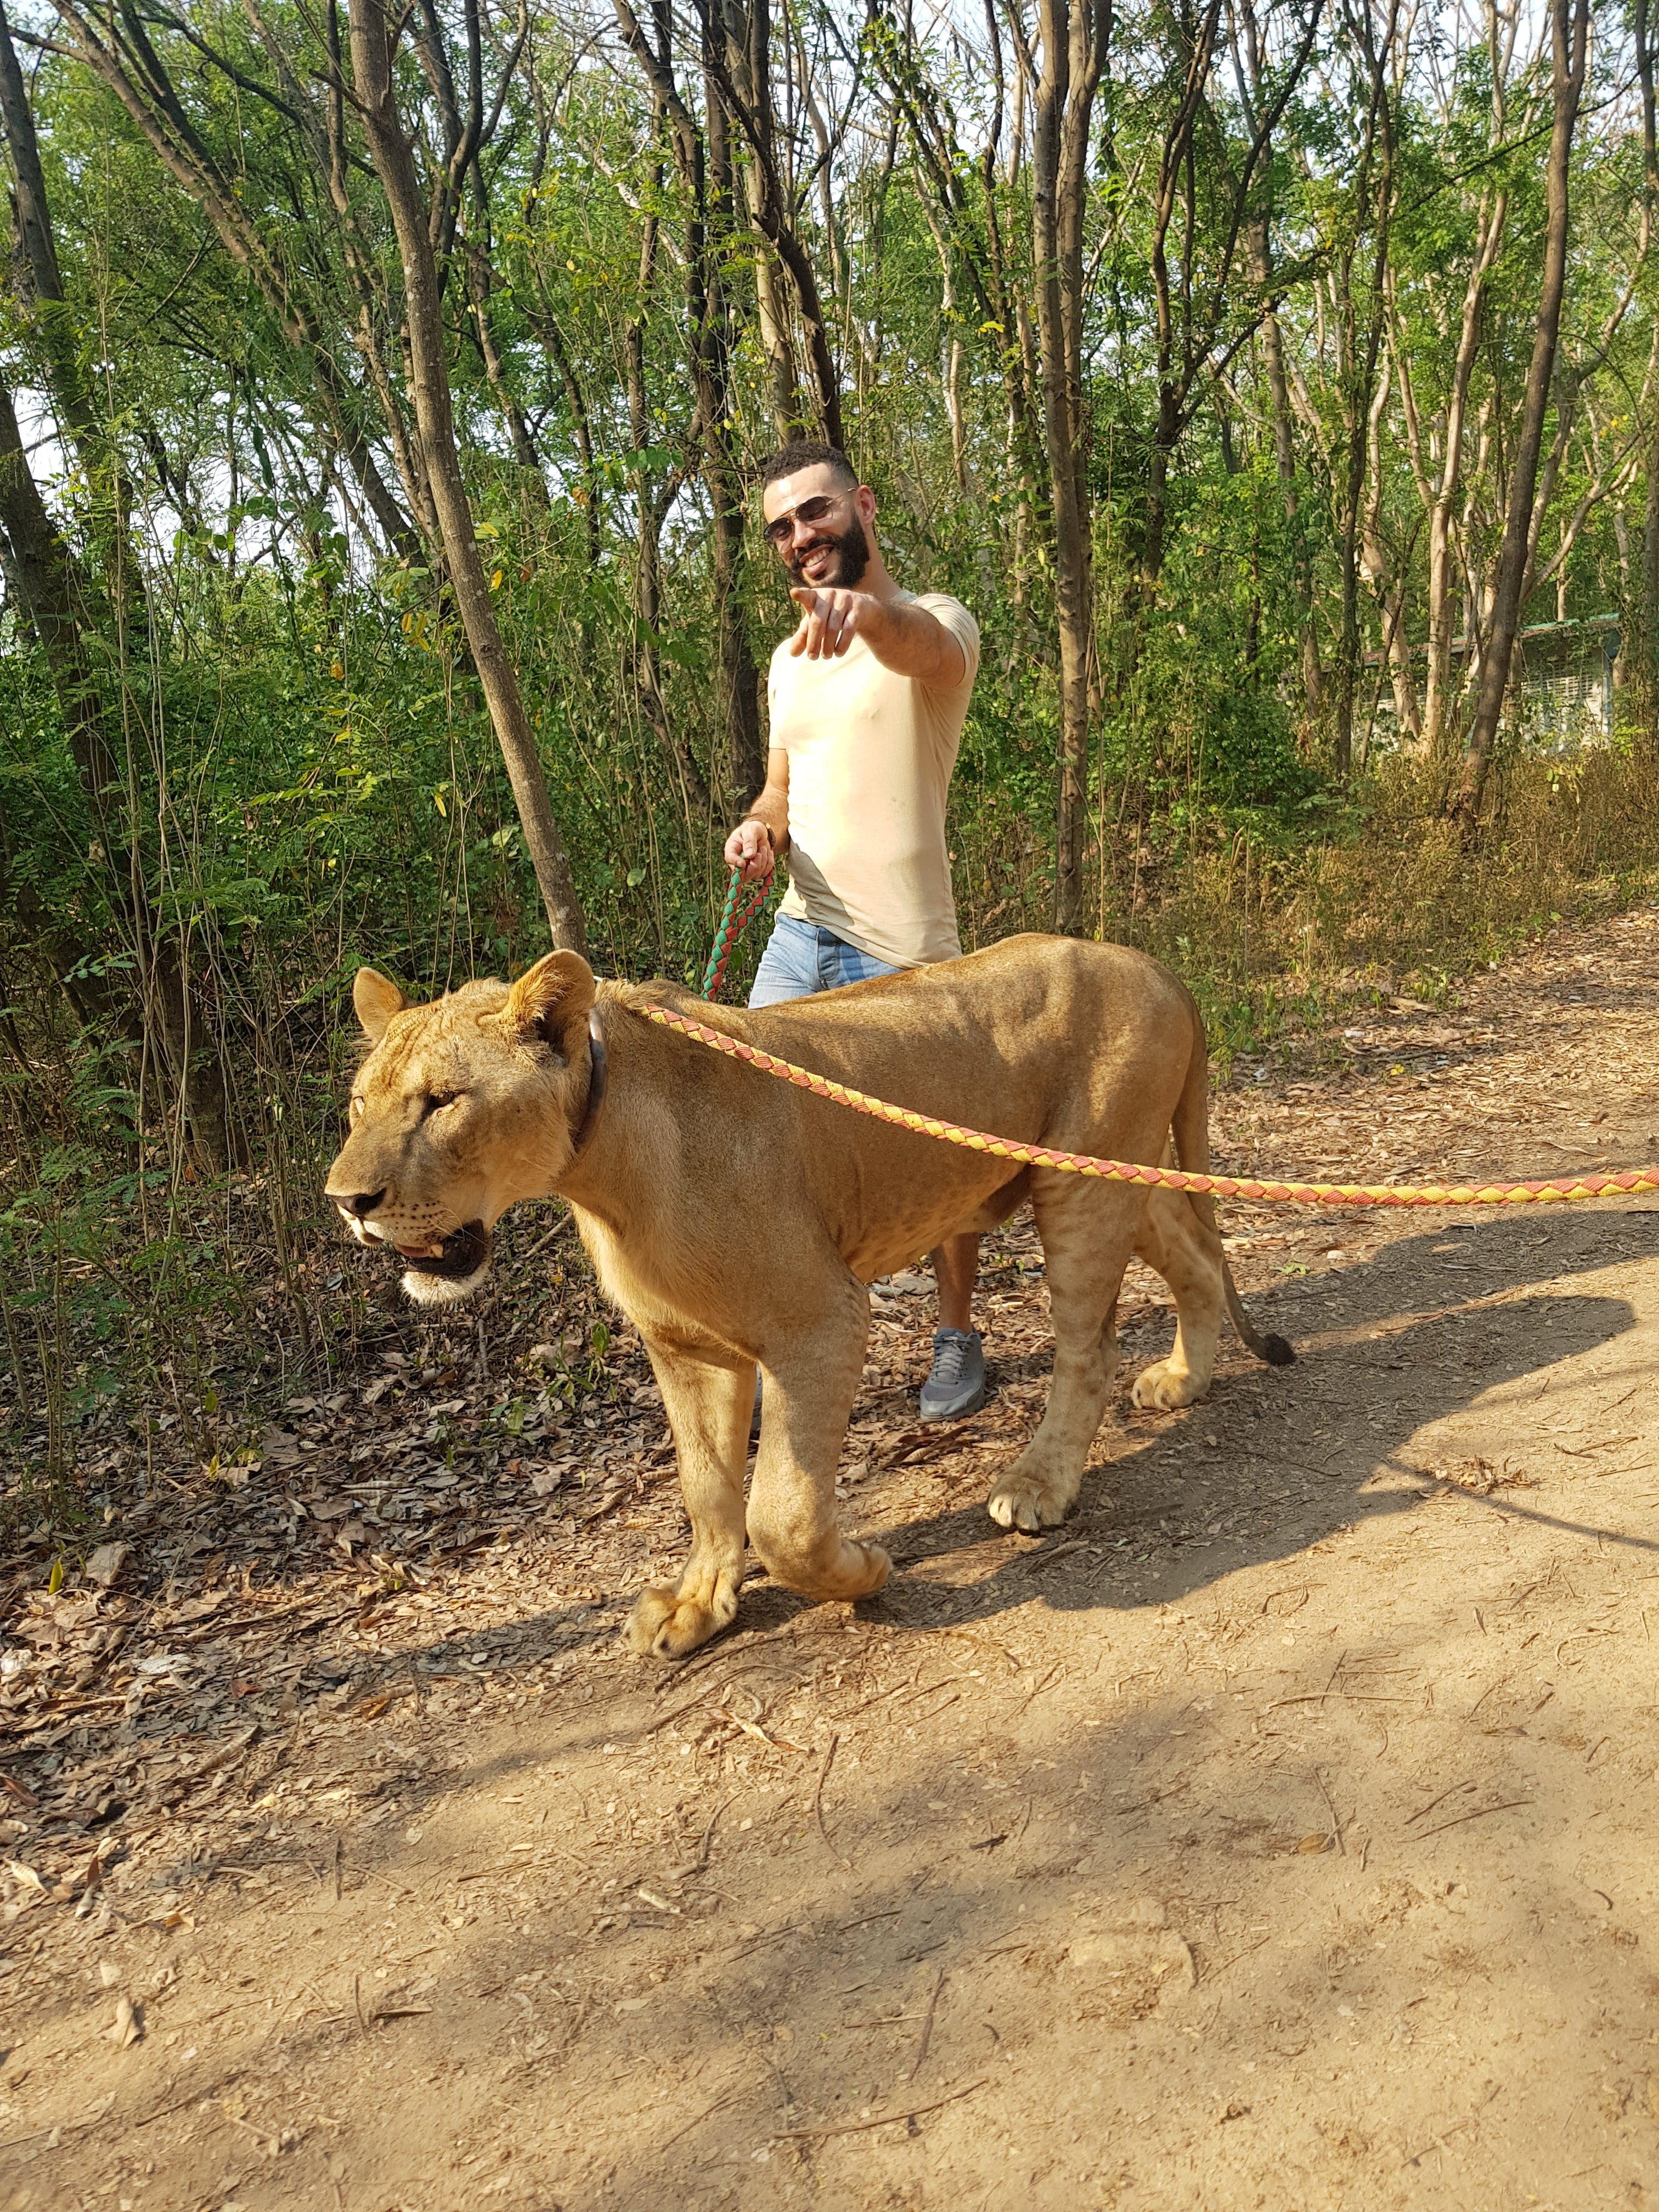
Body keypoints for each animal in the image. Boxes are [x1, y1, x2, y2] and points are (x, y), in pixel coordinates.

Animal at [325, 936, 1292, 1658]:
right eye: (359, 1105)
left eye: (443, 1101)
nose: (346, 1201)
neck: (600, 1169)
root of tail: (1156, 966)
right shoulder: (687, 1347)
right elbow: (708, 1487)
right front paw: (700, 1607)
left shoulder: (822, 1320)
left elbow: (781, 1515)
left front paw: (861, 1569)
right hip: (1114, 1176)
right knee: (1196, 1258)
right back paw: (1185, 1380)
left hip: (1081, 1186)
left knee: (1090, 1349)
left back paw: (1039, 1484)